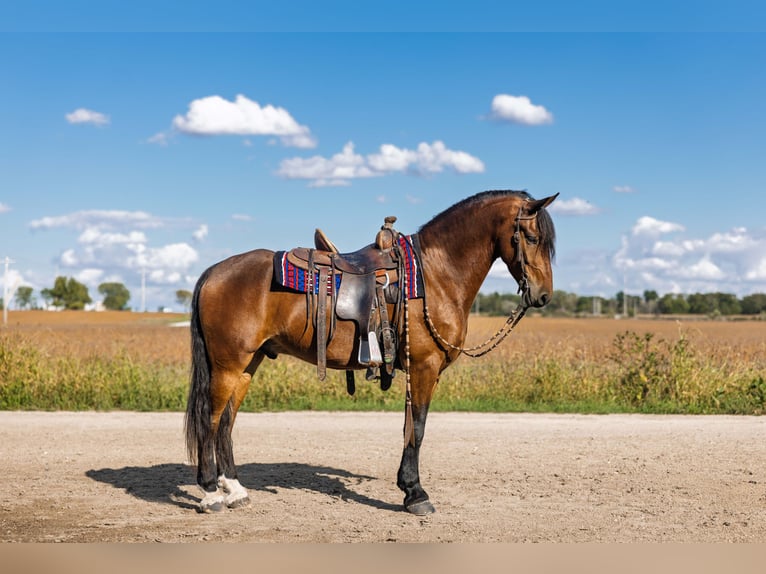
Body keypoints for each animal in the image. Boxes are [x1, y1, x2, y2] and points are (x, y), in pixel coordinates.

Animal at [185, 189, 558, 514]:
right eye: (532, 238)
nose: (543, 295)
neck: (435, 274)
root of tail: (213, 272)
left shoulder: (418, 371)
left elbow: (408, 427)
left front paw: (408, 487)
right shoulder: (424, 367)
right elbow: (418, 428)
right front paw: (416, 494)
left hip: (248, 364)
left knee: (226, 422)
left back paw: (234, 489)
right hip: (227, 365)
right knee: (210, 419)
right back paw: (210, 493)